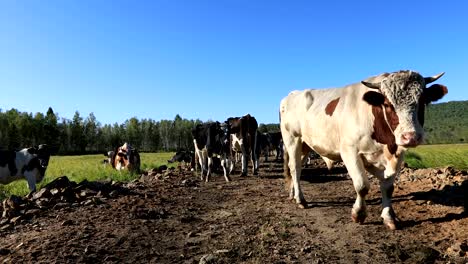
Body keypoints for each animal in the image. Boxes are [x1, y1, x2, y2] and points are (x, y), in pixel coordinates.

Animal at [280, 70, 448, 229]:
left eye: (423, 101)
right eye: (387, 104)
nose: (410, 137)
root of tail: (291, 95)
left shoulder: (397, 155)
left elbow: (388, 188)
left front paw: (389, 217)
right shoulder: (349, 151)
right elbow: (362, 186)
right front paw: (358, 214)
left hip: (305, 145)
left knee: (297, 169)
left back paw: (292, 194)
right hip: (292, 139)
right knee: (295, 168)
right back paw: (301, 200)